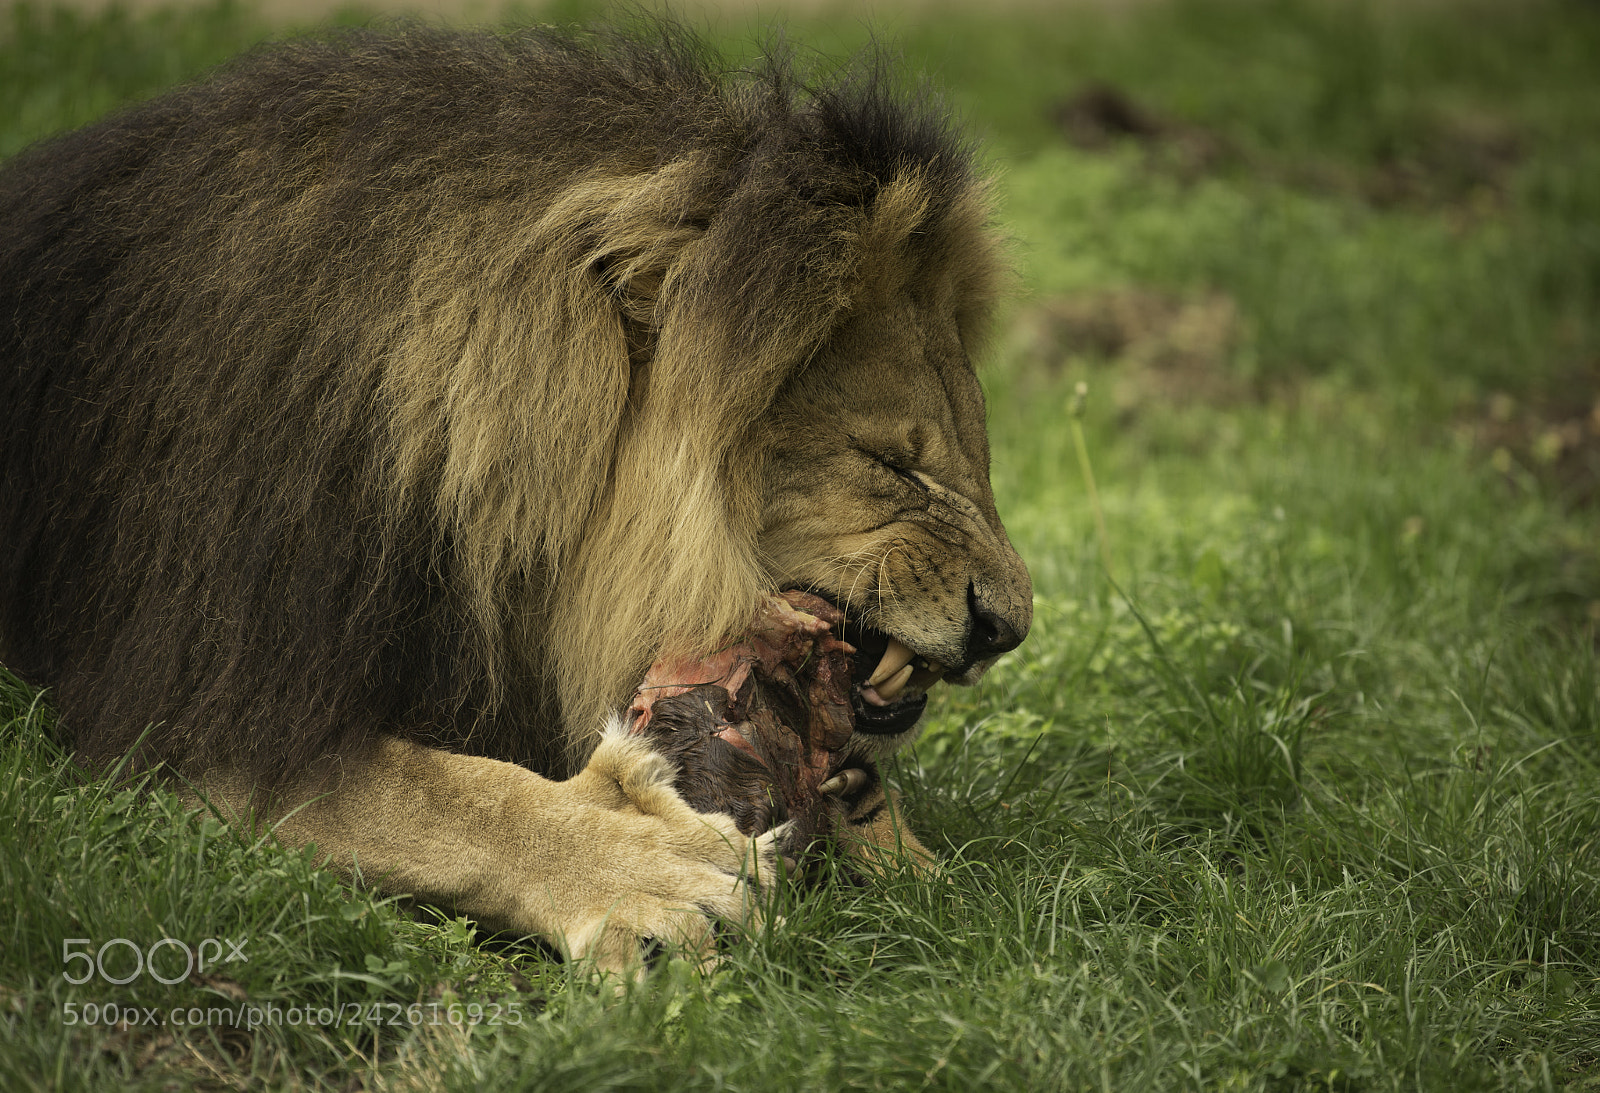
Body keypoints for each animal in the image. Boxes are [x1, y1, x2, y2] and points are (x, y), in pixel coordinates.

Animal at [0, 22, 1031, 974]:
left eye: (974, 458)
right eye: (890, 462)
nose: (1008, 629)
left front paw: (907, 852)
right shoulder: (198, 703)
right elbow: (441, 797)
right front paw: (644, 866)